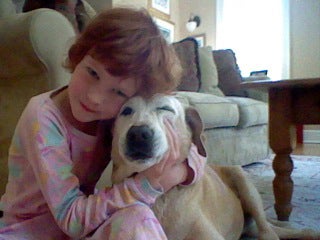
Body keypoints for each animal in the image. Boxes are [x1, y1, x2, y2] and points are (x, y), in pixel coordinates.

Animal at [109, 94, 318, 240]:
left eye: (165, 108)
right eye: (126, 111)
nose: (138, 134)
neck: (159, 194)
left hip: (242, 179)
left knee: (268, 230)